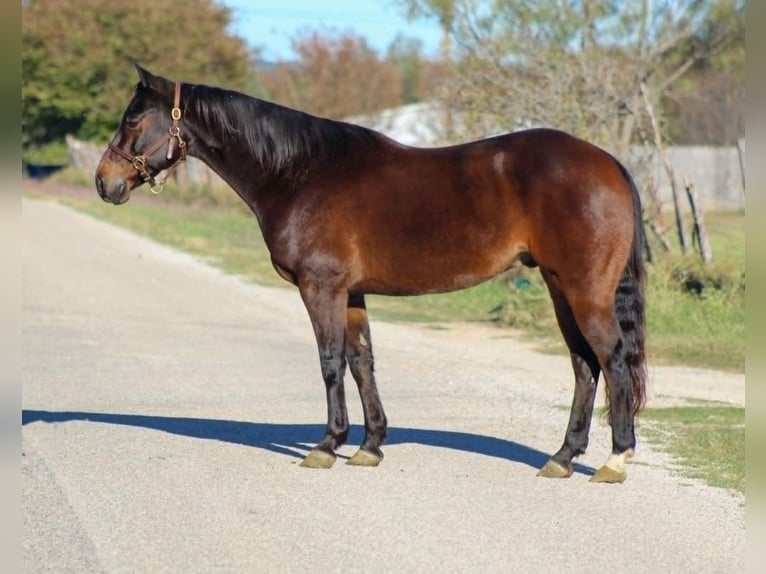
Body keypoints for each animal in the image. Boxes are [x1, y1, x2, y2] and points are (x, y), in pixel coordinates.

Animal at [96, 65, 648, 484]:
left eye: (132, 120)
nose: (105, 182)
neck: (300, 172)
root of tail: (609, 163)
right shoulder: (352, 293)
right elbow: (362, 362)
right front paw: (371, 444)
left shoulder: (321, 288)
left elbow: (330, 362)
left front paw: (327, 444)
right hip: (559, 288)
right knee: (584, 365)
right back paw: (562, 457)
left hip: (584, 291)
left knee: (612, 358)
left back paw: (615, 458)